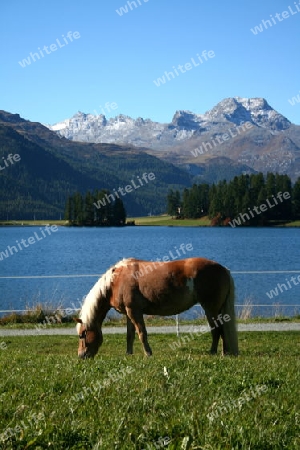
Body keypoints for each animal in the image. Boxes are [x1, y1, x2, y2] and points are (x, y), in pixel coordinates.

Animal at [75, 256, 239, 358]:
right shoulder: (129, 313)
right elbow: (130, 335)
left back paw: (215, 352)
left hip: (211, 309)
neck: (116, 281)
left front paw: (148, 354)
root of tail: (224, 269)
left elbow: (142, 333)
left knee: (217, 329)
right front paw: (129, 354)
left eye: (82, 335)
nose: (81, 356)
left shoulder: (135, 312)